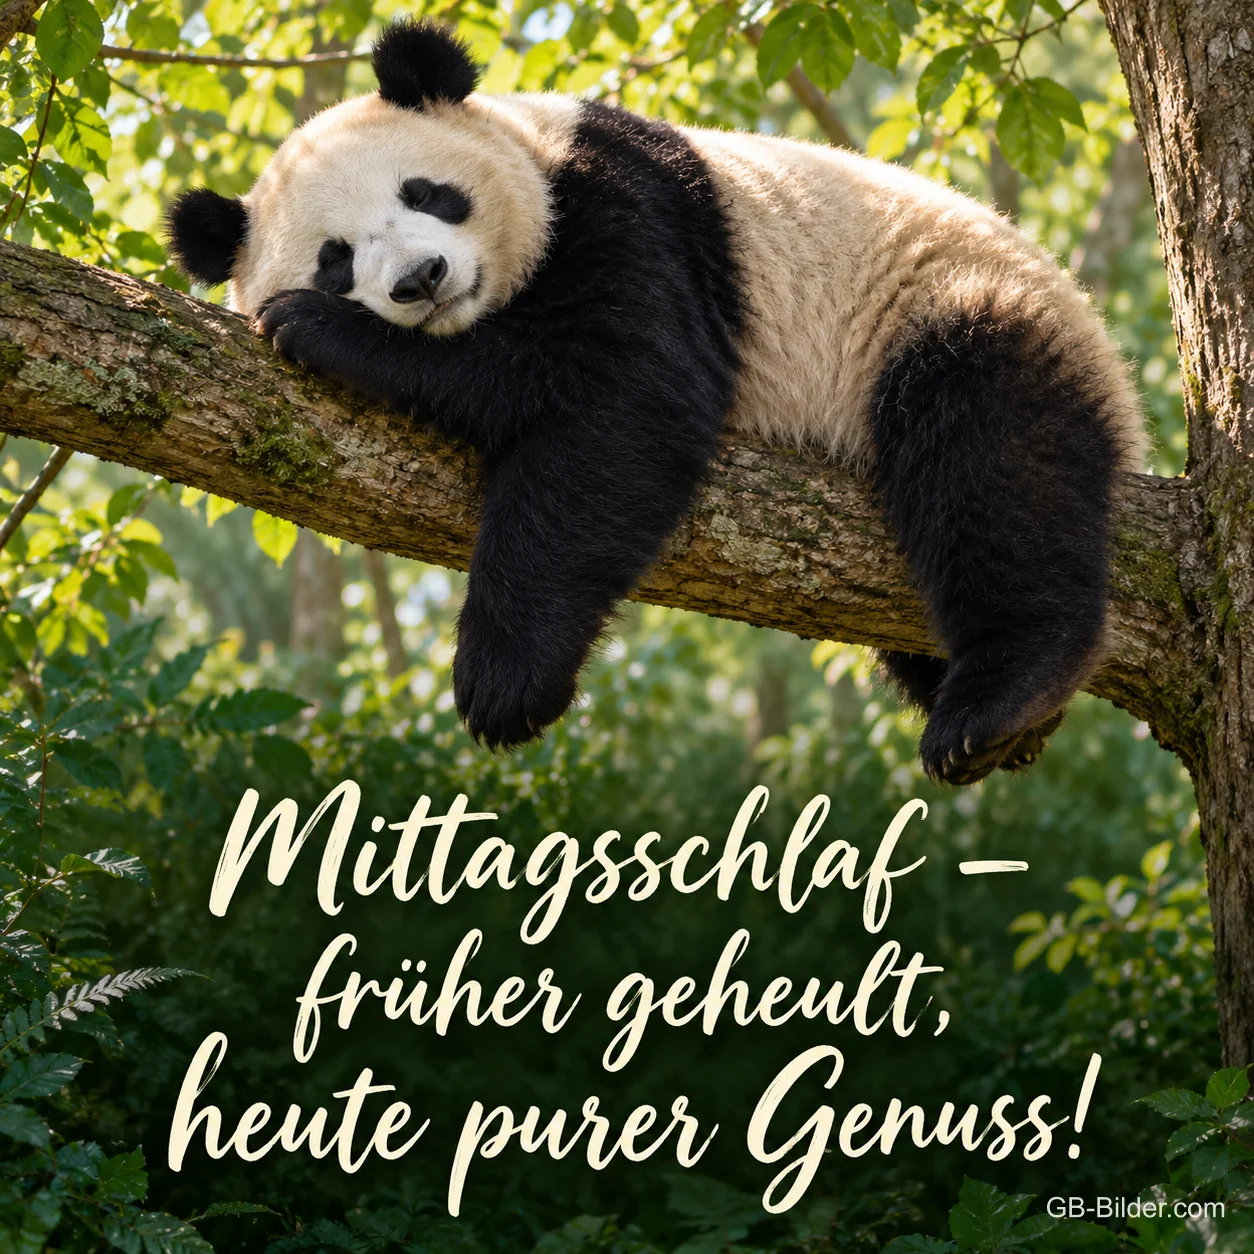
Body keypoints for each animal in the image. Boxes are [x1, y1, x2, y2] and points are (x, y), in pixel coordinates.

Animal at [167, 17, 1143, 785]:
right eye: (334, 256)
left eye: (427, 193)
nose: (420, 279)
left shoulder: (626, 208)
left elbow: (623, 399)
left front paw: (503, 685)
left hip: (946, 309)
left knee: (992, 466)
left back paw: (1000, 698)